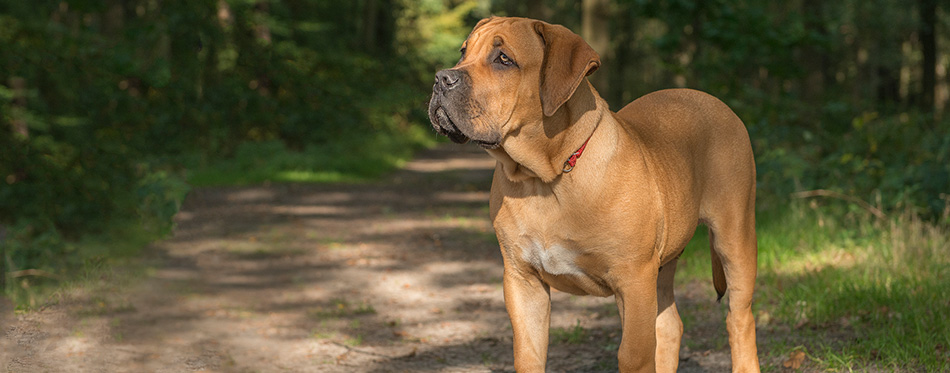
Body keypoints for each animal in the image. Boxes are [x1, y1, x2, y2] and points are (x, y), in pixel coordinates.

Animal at [428, 17, 764, 372]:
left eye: (503, 59)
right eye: (463, 52)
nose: (441, 78)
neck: (544, 179)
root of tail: (713, 101)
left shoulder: (633, 280)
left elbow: (633, 354)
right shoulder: (522, 280)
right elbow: (528, 353)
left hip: (734, 238)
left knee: (739, 318)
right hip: (665, 263)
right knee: (670, 324)